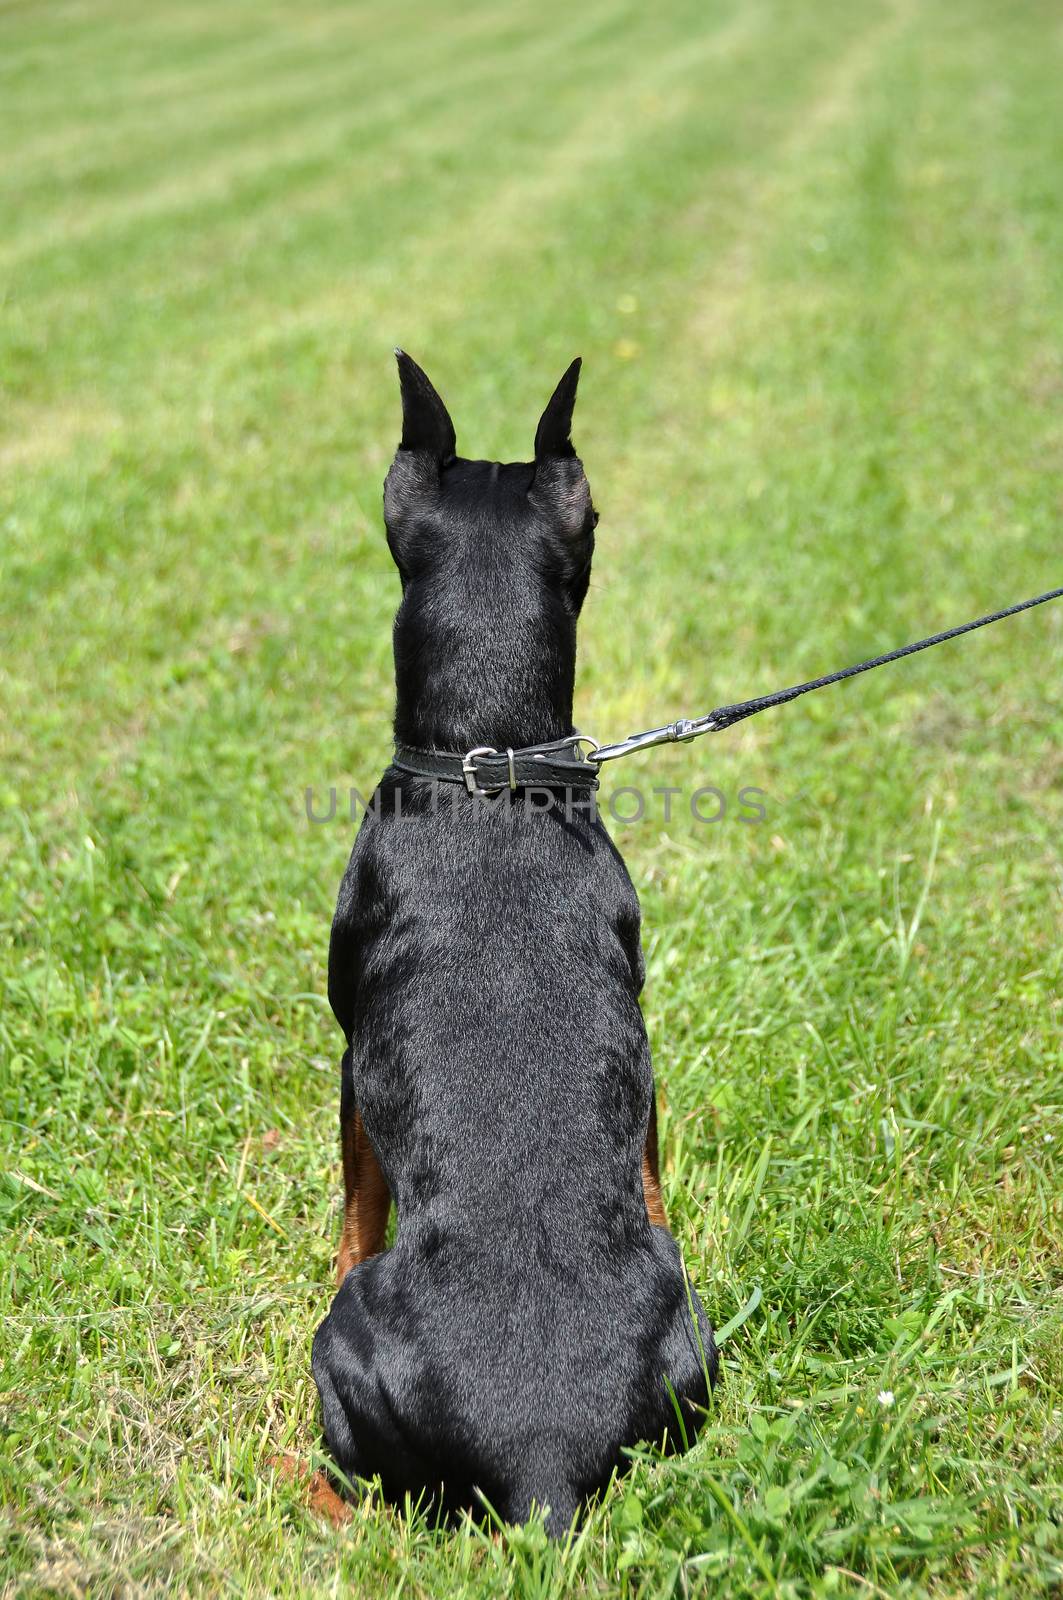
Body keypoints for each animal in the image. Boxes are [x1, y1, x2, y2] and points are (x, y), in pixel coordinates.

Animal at [312, 353, 717, 1536]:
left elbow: (357, 1196)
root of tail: (538, 1462)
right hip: (691, 1343)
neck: (484, 761)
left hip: (339, 1351)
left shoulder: (350, 1055)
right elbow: (649, 1157)